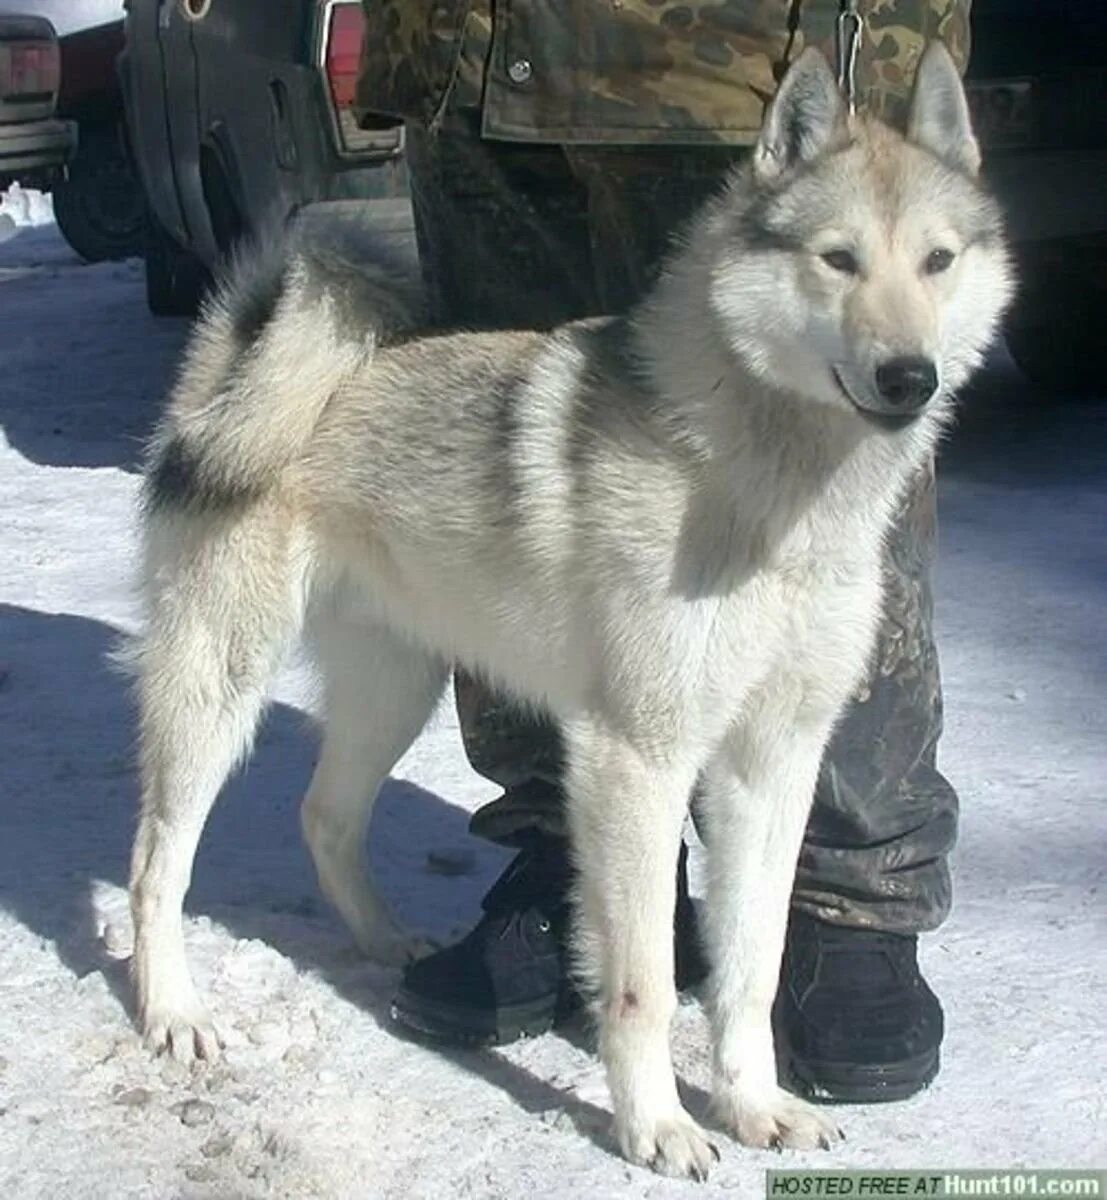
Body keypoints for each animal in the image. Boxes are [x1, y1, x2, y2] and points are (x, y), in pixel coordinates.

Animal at [129, 42, 1008, 1176]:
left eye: (937, 261)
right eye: (838, 260)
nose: (909, 377)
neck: (760, 485)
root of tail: (231, 370)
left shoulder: (773, 764)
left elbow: (751, 968)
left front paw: (755, 1105)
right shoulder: (636, 759)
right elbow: (640, 985)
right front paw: (657, 1128)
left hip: (394, 687)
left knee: (324, 817)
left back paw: (387, 946)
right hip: (219, 688)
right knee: (155, 865)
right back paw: (173, 1013)